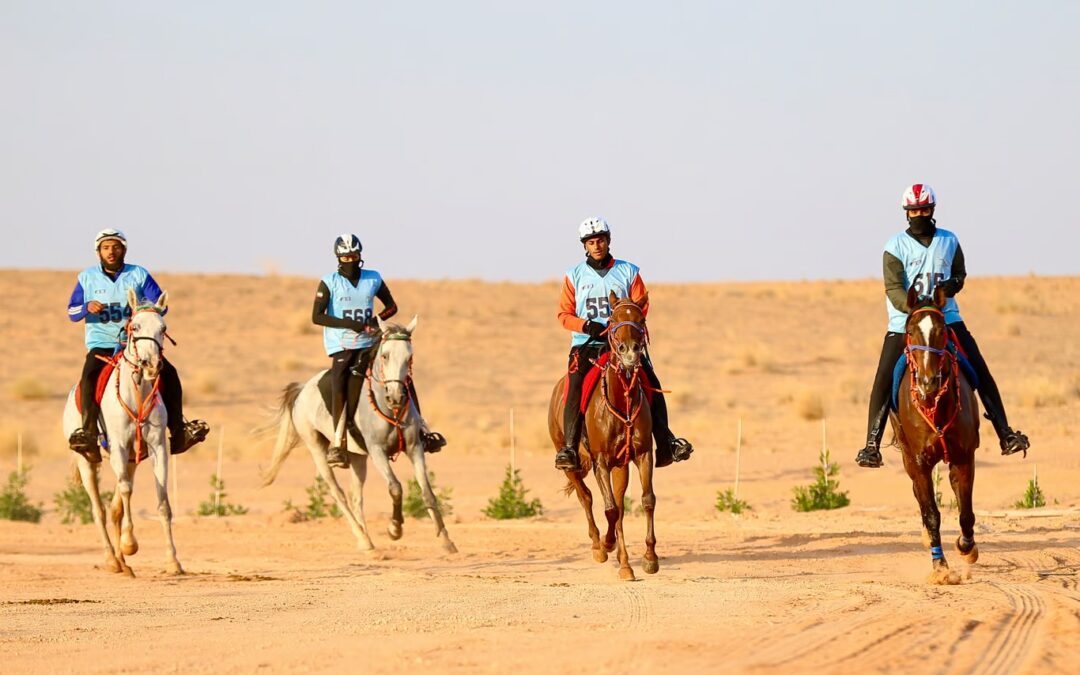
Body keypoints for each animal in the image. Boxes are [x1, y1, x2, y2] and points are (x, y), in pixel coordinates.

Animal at [61, 287, 181, 574]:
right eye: (135, 327)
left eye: (163, 328)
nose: (151, 365)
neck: (136, 391)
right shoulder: (118, 447)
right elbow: (126, 491)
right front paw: (129, 544)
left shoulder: (156, 447)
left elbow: (163, 502)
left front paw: (172, 560)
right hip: (88, 462)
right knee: (98, 509)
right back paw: (112, 559)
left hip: (130, 460)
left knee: (114, 508)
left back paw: (124, 565)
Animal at [261, 315, 455, 552]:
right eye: (385, 355)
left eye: (409, 357)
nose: (396, 397)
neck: (388, 407)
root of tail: (302, 388)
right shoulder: (377, 450)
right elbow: (395, 487)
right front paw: (394, 529)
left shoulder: (414, 447)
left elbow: (427, 491)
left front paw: (446, 540)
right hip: (317, 448)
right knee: (338, 493)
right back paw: (362, 538)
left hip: (357, 457)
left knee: (356, 497)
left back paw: (367, 542)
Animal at [544, 289, 652, 578]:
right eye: (612, 319)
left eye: (641, 318)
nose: (629, 351)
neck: (621, 399)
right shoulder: (600, 461)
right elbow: (610, 509)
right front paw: (607, 544)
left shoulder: (642, 456)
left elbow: (644, 501)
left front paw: (649, 558)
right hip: (570, 461)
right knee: (586, 497)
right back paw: (598, 546)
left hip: (620, 466)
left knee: (619, 506)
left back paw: (623, 562)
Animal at [889, 280, 984, 583]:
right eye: (910, 331)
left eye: (943, 331)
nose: (928, 383)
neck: (935, 406)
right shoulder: (918, 463)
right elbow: (931, 513)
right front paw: (940, 567)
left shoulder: (964, 458)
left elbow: (966, 513)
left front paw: (967, 548)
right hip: (908, 458)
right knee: (921, 500)